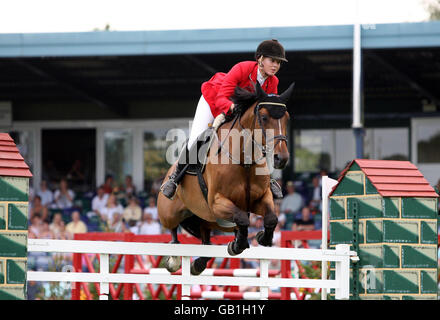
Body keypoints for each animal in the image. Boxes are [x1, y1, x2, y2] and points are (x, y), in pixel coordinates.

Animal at [156, 82, 294, 276]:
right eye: (264, 117)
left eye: (286, 119)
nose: (281, 158)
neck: (245, 161)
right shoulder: (217, 202)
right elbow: (242, 218)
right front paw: (237, 244)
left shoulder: (261, 198)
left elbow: (271, 218)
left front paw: (261, 237)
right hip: (170, 213)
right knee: (173, 229)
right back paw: (174, 257)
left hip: (210, 220)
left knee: (206, 239)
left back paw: (198, 264)